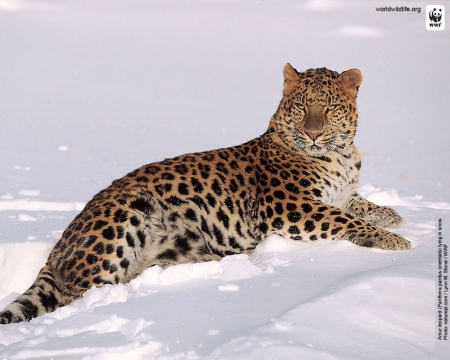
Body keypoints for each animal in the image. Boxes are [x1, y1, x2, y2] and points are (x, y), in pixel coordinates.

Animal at [0, 63, 410, 324]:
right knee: (76, 297)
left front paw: (392, 215)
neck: (340, 155)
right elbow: (342, 218)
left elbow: (356, 204)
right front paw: (395, 241)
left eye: (330, 107)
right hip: (124, 218)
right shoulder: (289, 207)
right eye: (301, 106)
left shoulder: (338, 193)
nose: (312, 132)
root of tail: (58, 247)